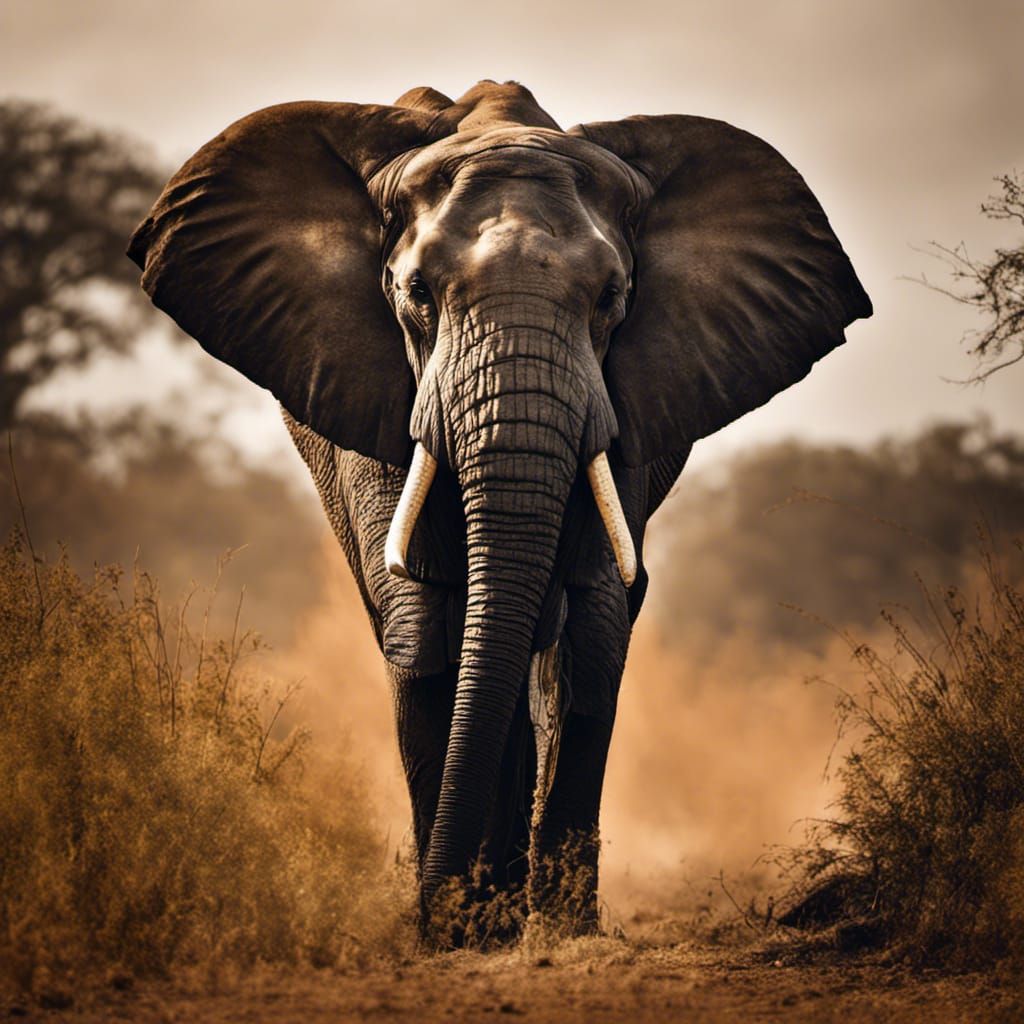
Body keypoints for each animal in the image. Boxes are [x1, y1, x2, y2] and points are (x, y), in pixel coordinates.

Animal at [127, 80, 871, 939]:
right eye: (416, 294)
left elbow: (592, 628)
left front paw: (556, 928)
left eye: (613, 298)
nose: (434, 913)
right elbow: (423, 624)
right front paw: (456, 933)